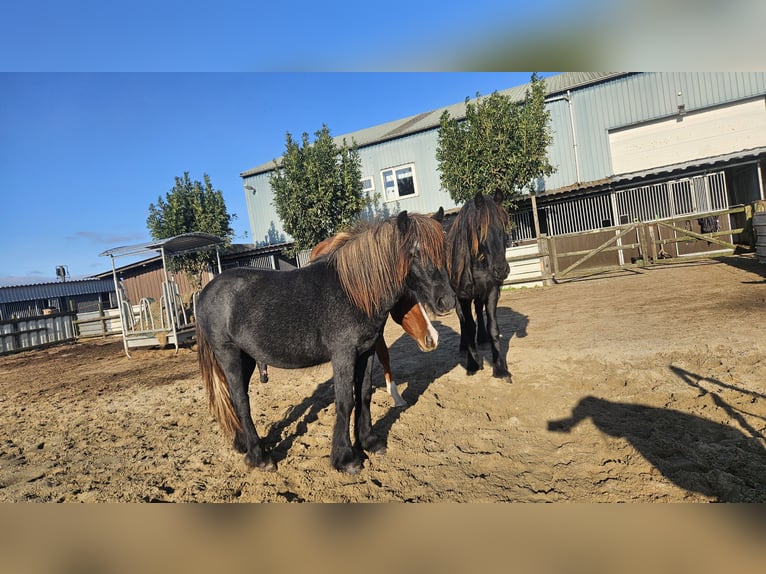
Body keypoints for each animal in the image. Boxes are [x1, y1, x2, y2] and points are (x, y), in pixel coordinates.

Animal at [196, 211, 455, 474]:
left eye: (444, 250)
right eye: (414, 252)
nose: (447, 301)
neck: (353, 292)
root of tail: (205, 292)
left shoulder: (367, 351)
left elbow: (364, 394)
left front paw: (369, 442)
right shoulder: (343, 354)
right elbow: (345, 402)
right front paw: (346, 458)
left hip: (246, 358)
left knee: (232, 398)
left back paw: (243, 444)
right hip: (229, 355)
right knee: (241, 401)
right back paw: (260, 457)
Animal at [445, 190, 511, 381]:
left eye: (503, 225)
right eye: (480, 228)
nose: (501, 269)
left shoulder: (491, 290)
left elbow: (493, 327)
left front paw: (500, 368)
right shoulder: (463, 296)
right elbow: (468, 326)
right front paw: (473, 364)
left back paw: (481, 338)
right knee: (462, 320)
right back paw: (464, 347)